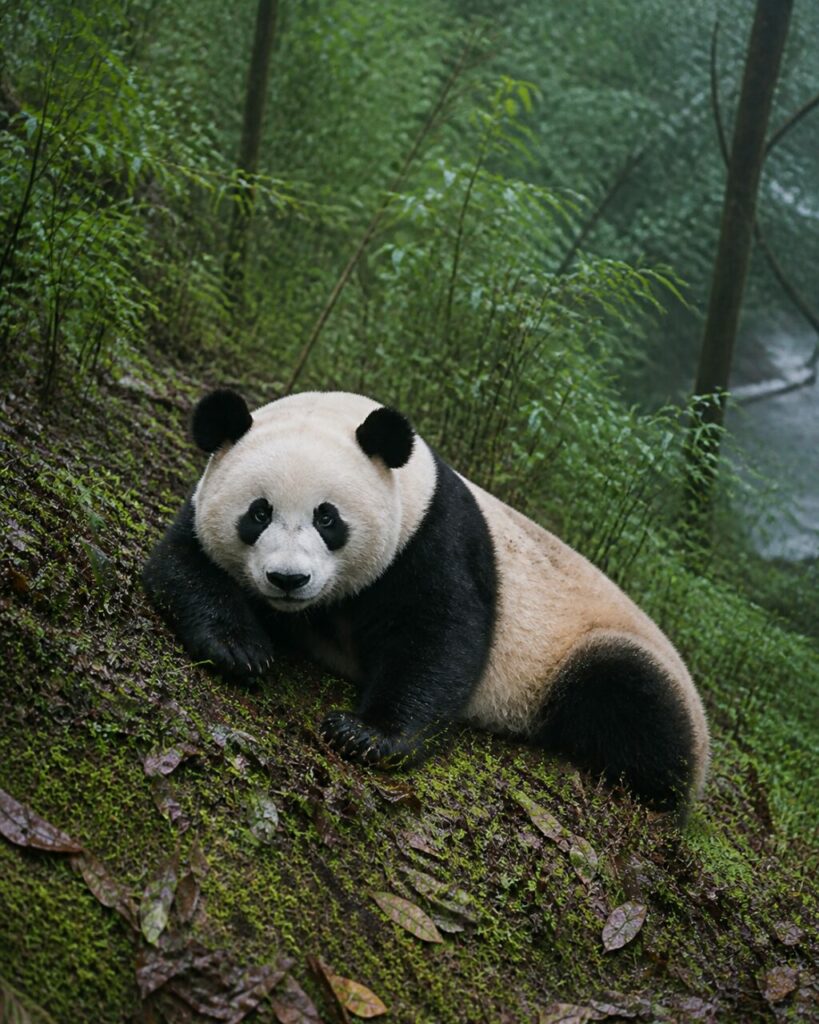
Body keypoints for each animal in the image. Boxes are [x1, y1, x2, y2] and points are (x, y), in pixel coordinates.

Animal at [143, 388, 709, 821]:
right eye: (258, 513)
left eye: (328, 518)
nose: (287, 579)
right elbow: (183, 563)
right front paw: (238, 648)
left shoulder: (434, 538)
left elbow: (438, 639)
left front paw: (365, 734)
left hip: (597, 652)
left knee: (632, 698)